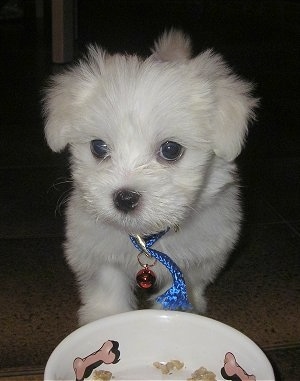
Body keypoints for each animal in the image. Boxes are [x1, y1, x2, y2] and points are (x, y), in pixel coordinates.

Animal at [44, 29, 258, 324]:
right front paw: (105, 315)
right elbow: (107, 283)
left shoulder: (204, 253)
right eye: (98, 147)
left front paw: (179, 311)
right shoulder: (94, 248)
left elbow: (186, 284)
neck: (147, 236)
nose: (124, 198)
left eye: (171, 149)